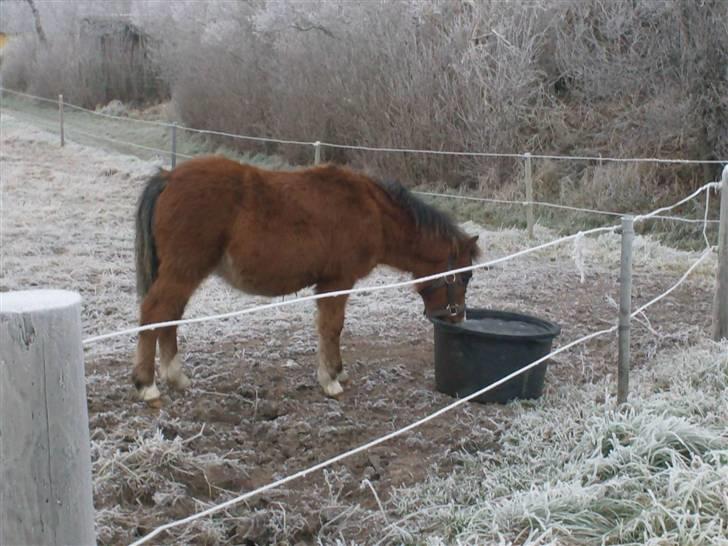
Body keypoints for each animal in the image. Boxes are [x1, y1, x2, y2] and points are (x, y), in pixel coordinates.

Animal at [134, 155, 480, 402]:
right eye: (463, 277)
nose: (457, 318)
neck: (372, 212)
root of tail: (169, 177)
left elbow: (327, 329)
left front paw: (333, 373)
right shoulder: (337, 283)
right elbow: (332, 327)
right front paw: (332, 379)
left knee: (169, 316)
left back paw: (176, 378)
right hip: (182, 272)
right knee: (154, 313)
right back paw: (147, 385)